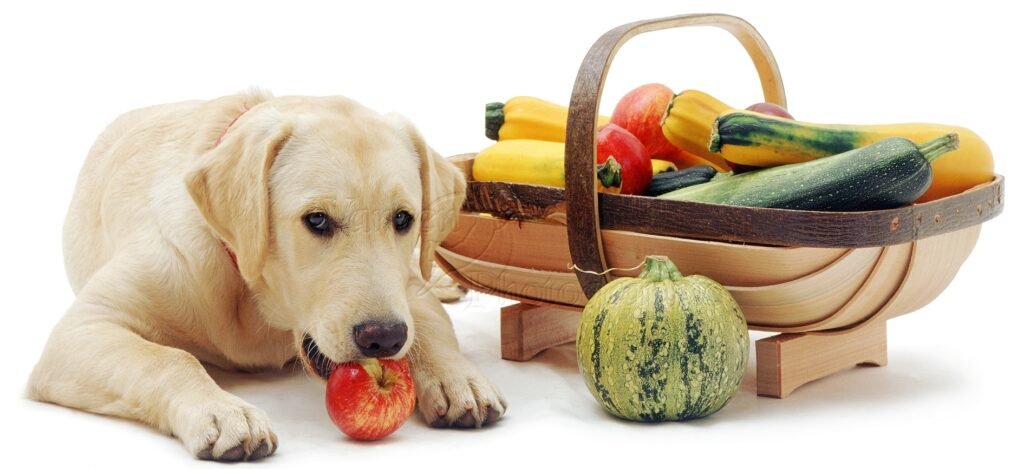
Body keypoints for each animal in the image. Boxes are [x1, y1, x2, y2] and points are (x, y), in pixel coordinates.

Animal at [30, 91, 507, 460]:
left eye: (404, 219)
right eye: (317, 220)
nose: (384, 339)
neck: (251, 291)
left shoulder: (407, 288)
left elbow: (429, 323)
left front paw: (457, 378)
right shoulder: (84, 327)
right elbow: (168, 358)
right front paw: (223, 412)